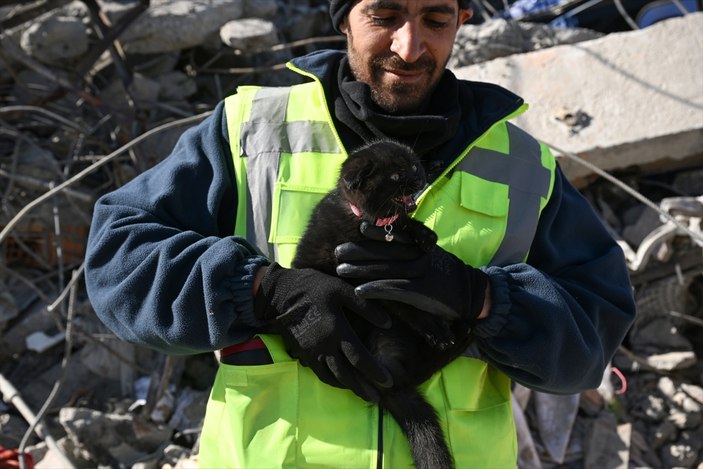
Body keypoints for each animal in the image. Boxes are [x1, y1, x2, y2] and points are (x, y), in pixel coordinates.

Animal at [292, 140, 472, 468]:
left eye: (412, 166)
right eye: (396, 176)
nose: (420, 176)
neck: (371, 223)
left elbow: (406, 225)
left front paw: (424, 235)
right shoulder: (371, 284)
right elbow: (409, 307)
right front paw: (435, 330)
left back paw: (461, 333)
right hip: (374, 347)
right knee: (401, 375)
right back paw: (450, 336)